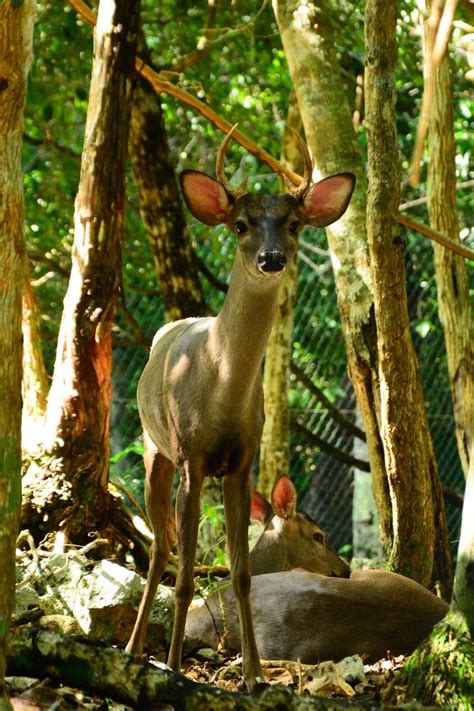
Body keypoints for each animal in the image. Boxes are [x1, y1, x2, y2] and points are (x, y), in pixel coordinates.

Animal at [126, 126, 356, 688]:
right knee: (161, 549)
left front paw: (254, 674)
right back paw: (136, 648)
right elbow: (188, 571)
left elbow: (244, 571)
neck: (221, 392)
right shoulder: (192, 456)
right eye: (240, 224)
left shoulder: (242, 461)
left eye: (293, 223)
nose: (272, 258)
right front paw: (173, 668)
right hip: (154, 448)